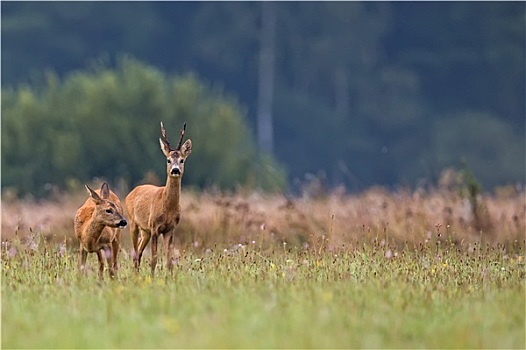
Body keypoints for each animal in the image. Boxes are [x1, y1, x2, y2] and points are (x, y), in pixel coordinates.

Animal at [126, 121, 194, 274]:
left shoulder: (170, 229)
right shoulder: (155, 227)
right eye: (168, 160)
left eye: (182, 160)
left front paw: (170, 277)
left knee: (139, 252)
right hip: (133, 222)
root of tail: (132, 192)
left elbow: (169, 261)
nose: (175, 170)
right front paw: (152, 277)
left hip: (145, 231)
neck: (167, 207)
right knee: (135, 252)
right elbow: (154, 259)